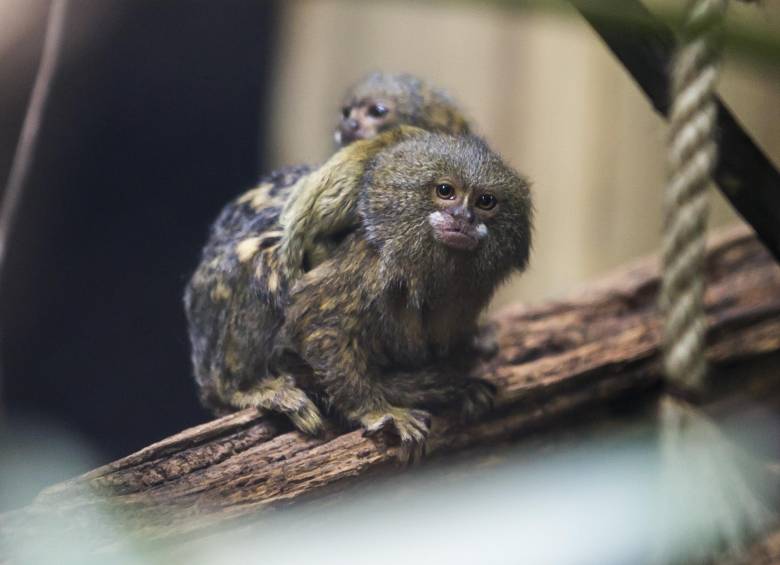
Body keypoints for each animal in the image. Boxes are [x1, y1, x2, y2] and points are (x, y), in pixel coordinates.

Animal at [277, 128, 533, 460]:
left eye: (485, 201)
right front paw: (377, 410)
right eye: (446, 191)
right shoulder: (370, 263)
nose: (463, 217)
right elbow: (315, 318)